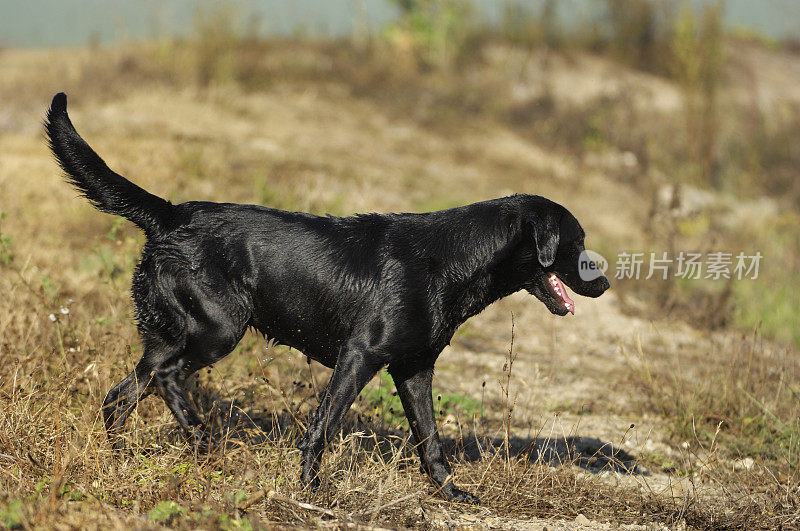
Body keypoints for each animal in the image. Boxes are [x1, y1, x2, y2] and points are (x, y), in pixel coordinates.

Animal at [45, 93, 608, 504]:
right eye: (576, 241)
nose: (603, 282)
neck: (450, 259)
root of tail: (170, 214)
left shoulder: (414, 369)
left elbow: (430, 442)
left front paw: (454, 494)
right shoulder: (359, 355)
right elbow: (325, 425)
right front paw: (312, 490)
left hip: (168, 335)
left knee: (120, 396)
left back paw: (122, 457)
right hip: (217, 329)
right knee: (166, 379)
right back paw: (203, 441)